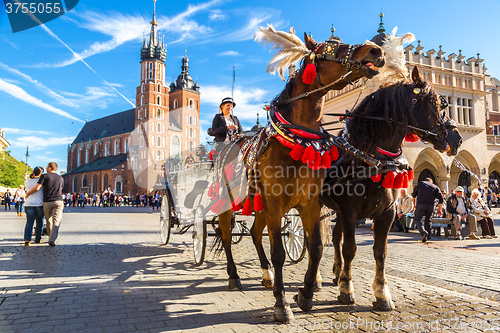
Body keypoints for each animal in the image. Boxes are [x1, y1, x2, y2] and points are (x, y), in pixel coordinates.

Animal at [209, 27, 384, 322]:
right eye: (328, 49)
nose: (377, 50)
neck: (298, 142)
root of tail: (228, 145)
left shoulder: (308, 204)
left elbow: (316, 247)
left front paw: (305, 295)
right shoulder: (276, 204)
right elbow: (279, 252)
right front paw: (282, 304)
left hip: (260, 207)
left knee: (254, 234)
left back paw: (267, 276)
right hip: (230, 203)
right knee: (225, 235)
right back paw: (234, 277)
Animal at [318, 67, 462, 312]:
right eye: (435, 104)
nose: (458, 139)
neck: (371, 158)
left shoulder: (387, 212)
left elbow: (380, 252)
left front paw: (382, 294)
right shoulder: (349, 213)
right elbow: (350, 249)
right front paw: (347, 290)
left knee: (335, 238)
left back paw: (336, 272)